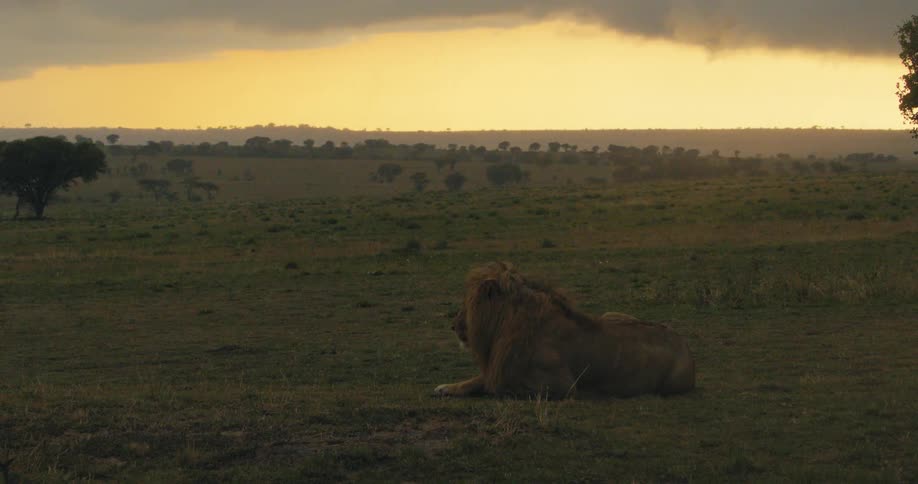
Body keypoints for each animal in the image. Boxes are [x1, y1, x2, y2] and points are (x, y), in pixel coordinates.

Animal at [434, 262, 695, 399]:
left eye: (469, 304)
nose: (453, 325)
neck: (507, 324)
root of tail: (684, 342)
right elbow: (479, 379)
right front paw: (445, 387)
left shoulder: (563, 386)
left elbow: (501, 387)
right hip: (611, 314)